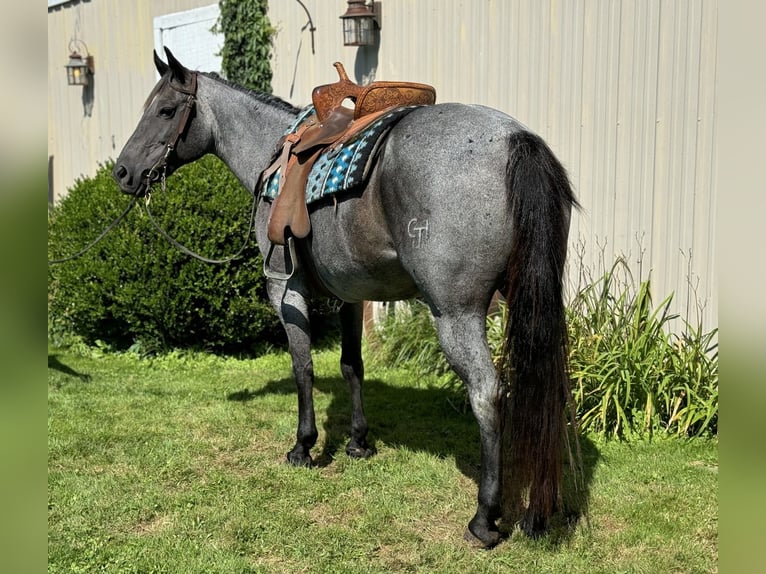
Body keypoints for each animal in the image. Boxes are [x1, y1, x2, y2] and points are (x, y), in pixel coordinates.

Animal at [112, 49, 584, 548]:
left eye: (166, 111)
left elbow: (303, 367)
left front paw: (303, 446)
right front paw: (359, 442)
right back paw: (537, 513)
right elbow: (351, 366)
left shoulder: (285, 288)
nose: (122, 172)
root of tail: (516, 140)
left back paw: (484, 518)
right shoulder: (352, 295)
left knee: (487, 394)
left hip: (457, 314)